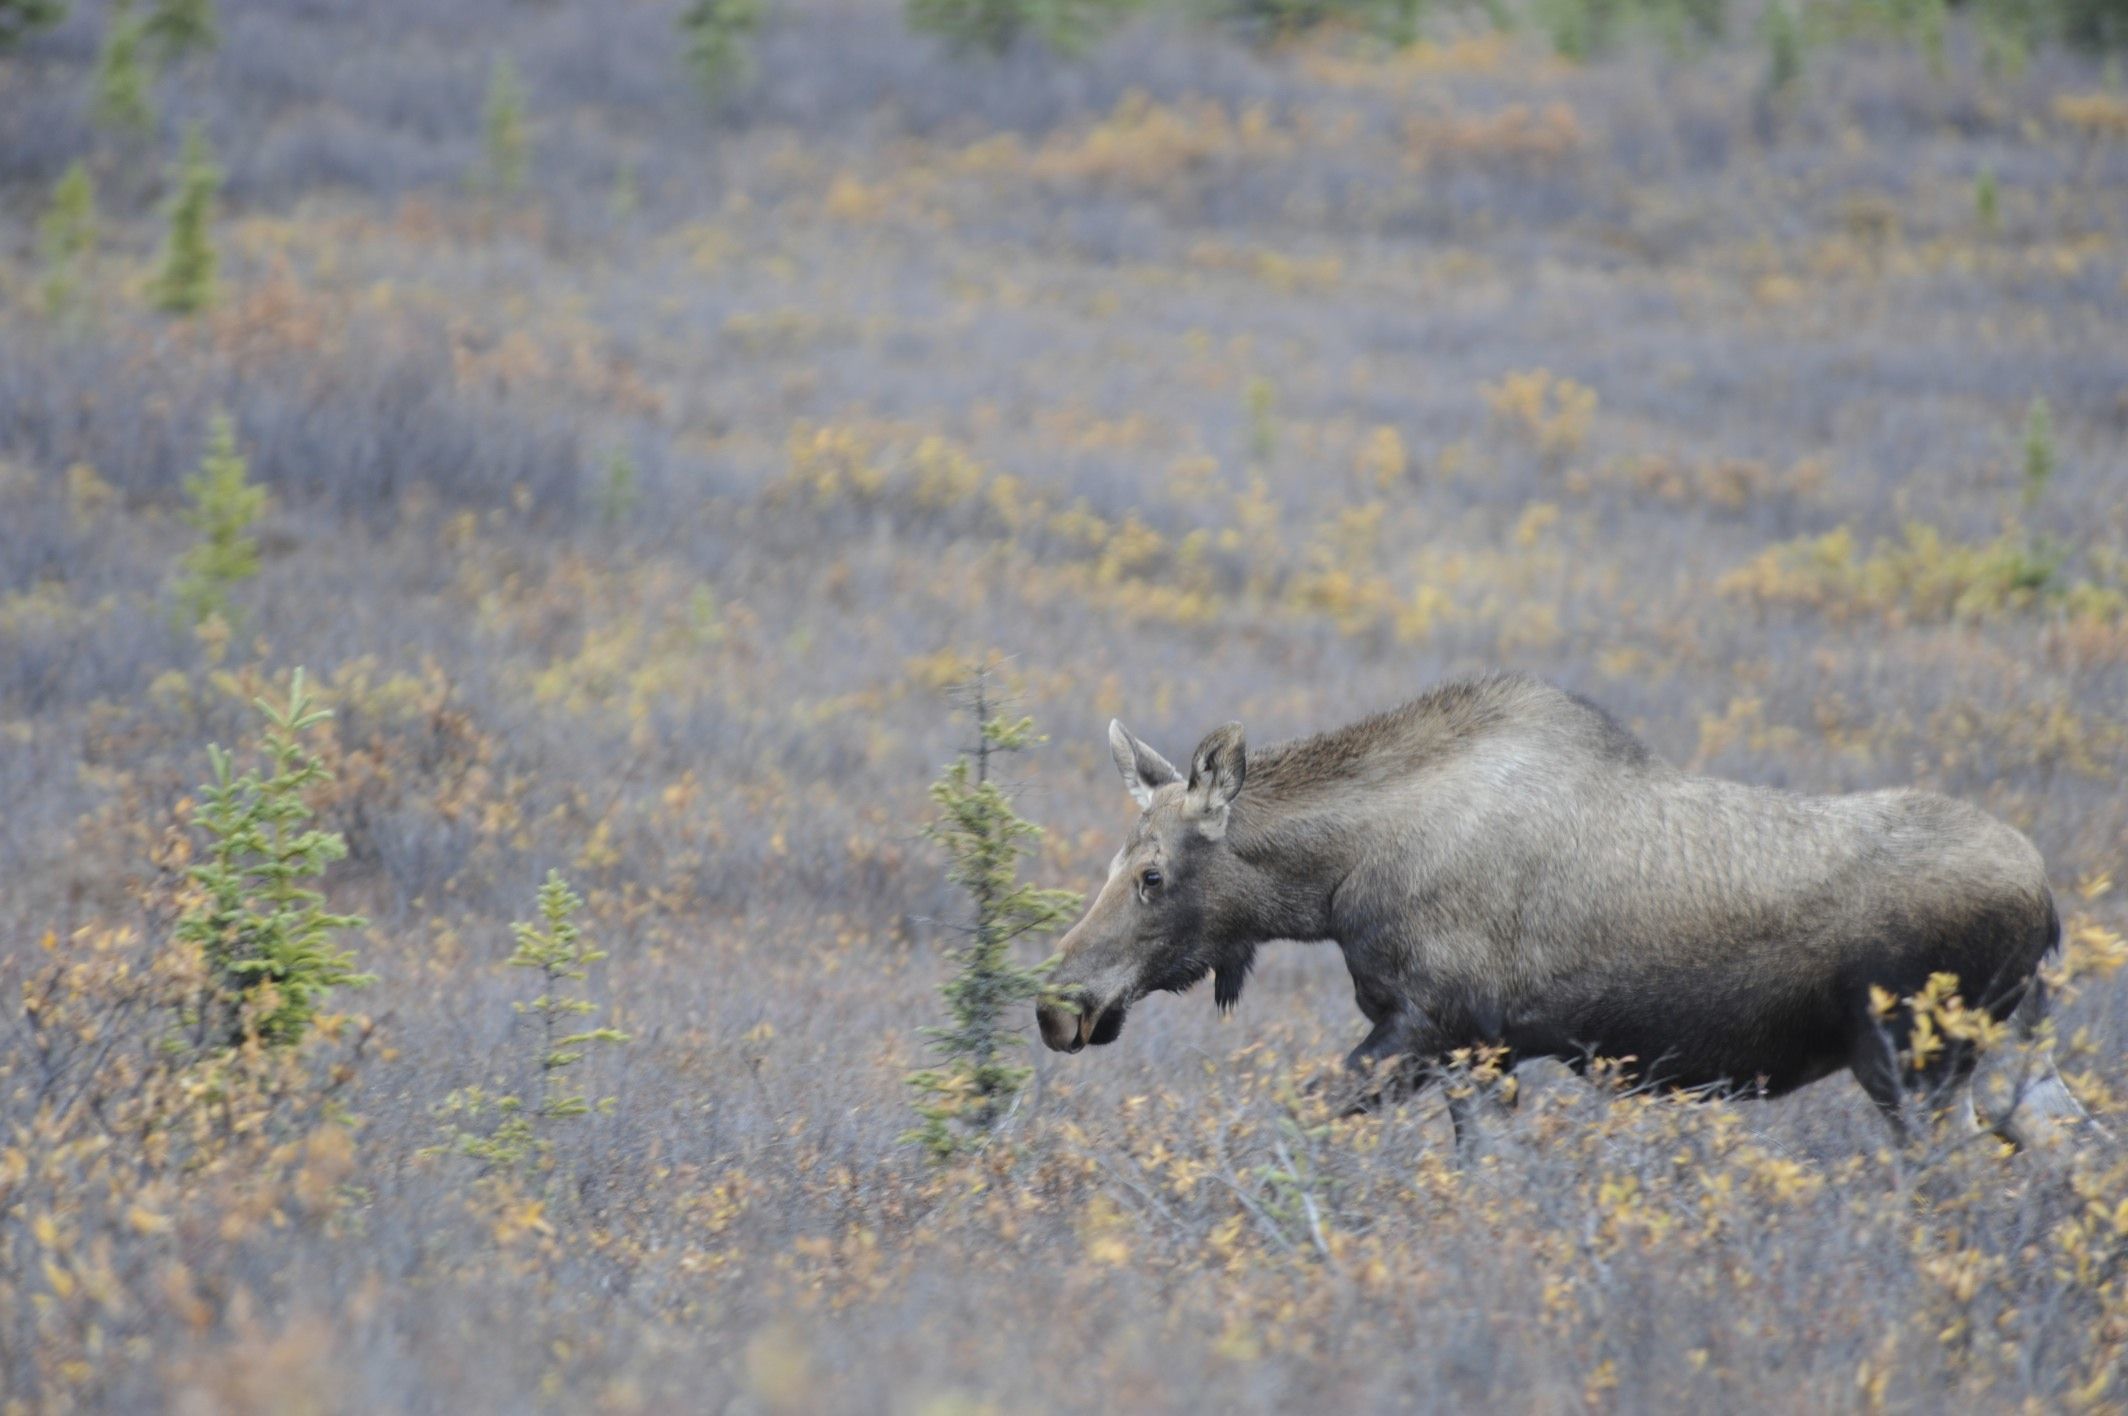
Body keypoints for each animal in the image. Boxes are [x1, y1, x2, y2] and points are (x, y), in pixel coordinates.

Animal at [1038, 672, 2085, 1149]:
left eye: (1152, 876)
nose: (1057, 1002)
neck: (1335, 885)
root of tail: (2048, 907)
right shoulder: (1485, 1053)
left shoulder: (1433, 1028)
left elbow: (1294, 1120)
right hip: (2006, 1060)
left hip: (1913, 1063)